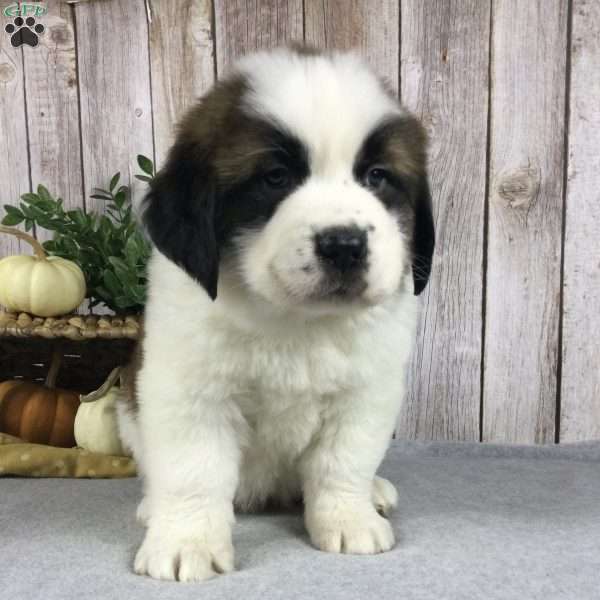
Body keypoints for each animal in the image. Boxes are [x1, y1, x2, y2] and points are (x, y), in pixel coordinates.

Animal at [118, 47, 436, 580]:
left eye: (376, 176)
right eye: (275, 178)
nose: (344, 244)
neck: (294, 319)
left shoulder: (367, 391)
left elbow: (343, 460)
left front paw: (349, 517)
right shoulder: (190, 393)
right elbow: (194, 470)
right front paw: (186, 540)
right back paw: (150, 507)